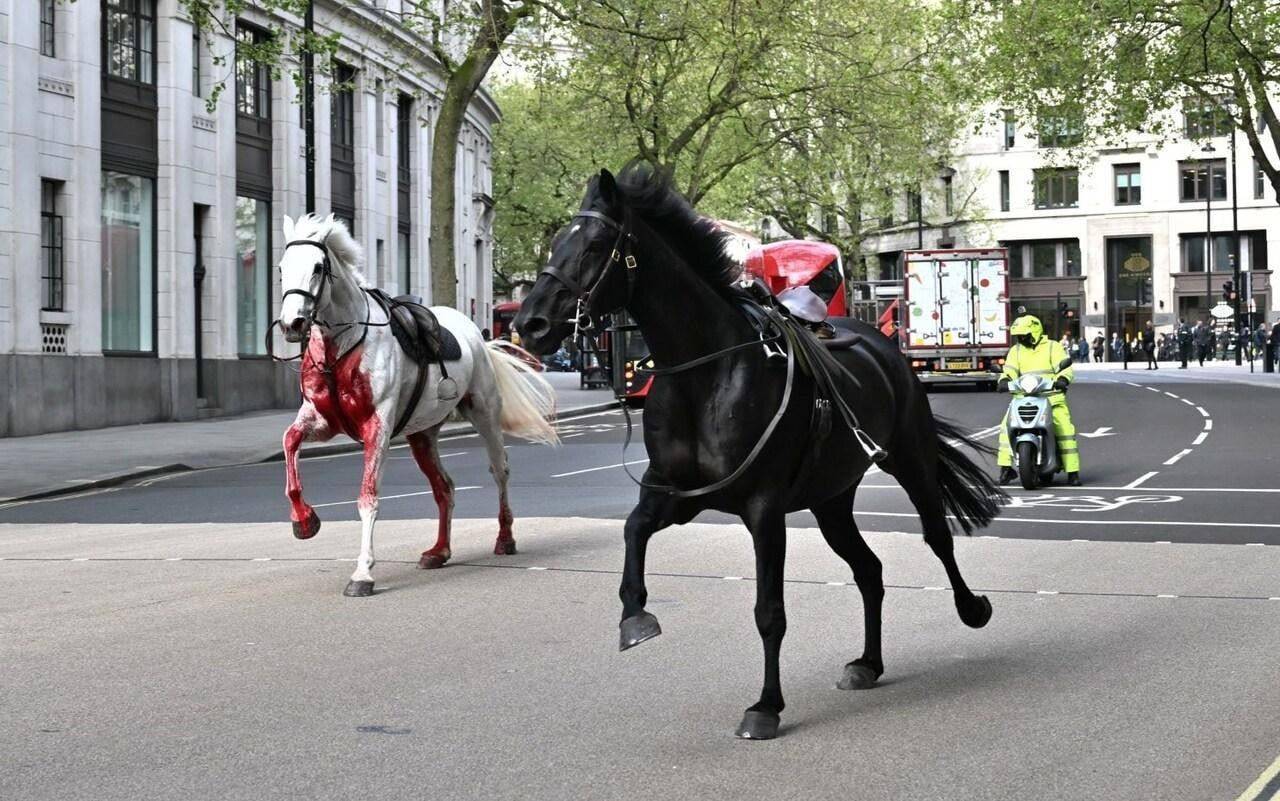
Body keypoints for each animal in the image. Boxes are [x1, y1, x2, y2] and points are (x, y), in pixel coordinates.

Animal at [272, 212, 558, 593]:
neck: (342, 347)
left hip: (484, 413)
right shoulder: (321, 420)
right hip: (422, 434)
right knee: (444, 487)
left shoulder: (377, 427)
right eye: (281, 268)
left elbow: (368, 497)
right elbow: (289, 442)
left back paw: (505, 538)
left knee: (500, 470)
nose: (292, 324)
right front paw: (304, 521)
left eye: (318, 267)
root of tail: (476, 334)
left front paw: (363, 573)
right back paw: (439, 551)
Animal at [514, 165, 1003, 737]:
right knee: (869, 570)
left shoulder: (763, 508)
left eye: (594, 245)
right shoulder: (676, 494)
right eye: (554, 243)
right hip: (831, 499)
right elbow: (633, 530)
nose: (529, 324)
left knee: (936, 536)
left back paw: (972, 608)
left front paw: (766, 706)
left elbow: (769, 611)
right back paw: (868, 663)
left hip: (910, 457)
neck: (704, 374)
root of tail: (880, 340)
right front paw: (635, 618)